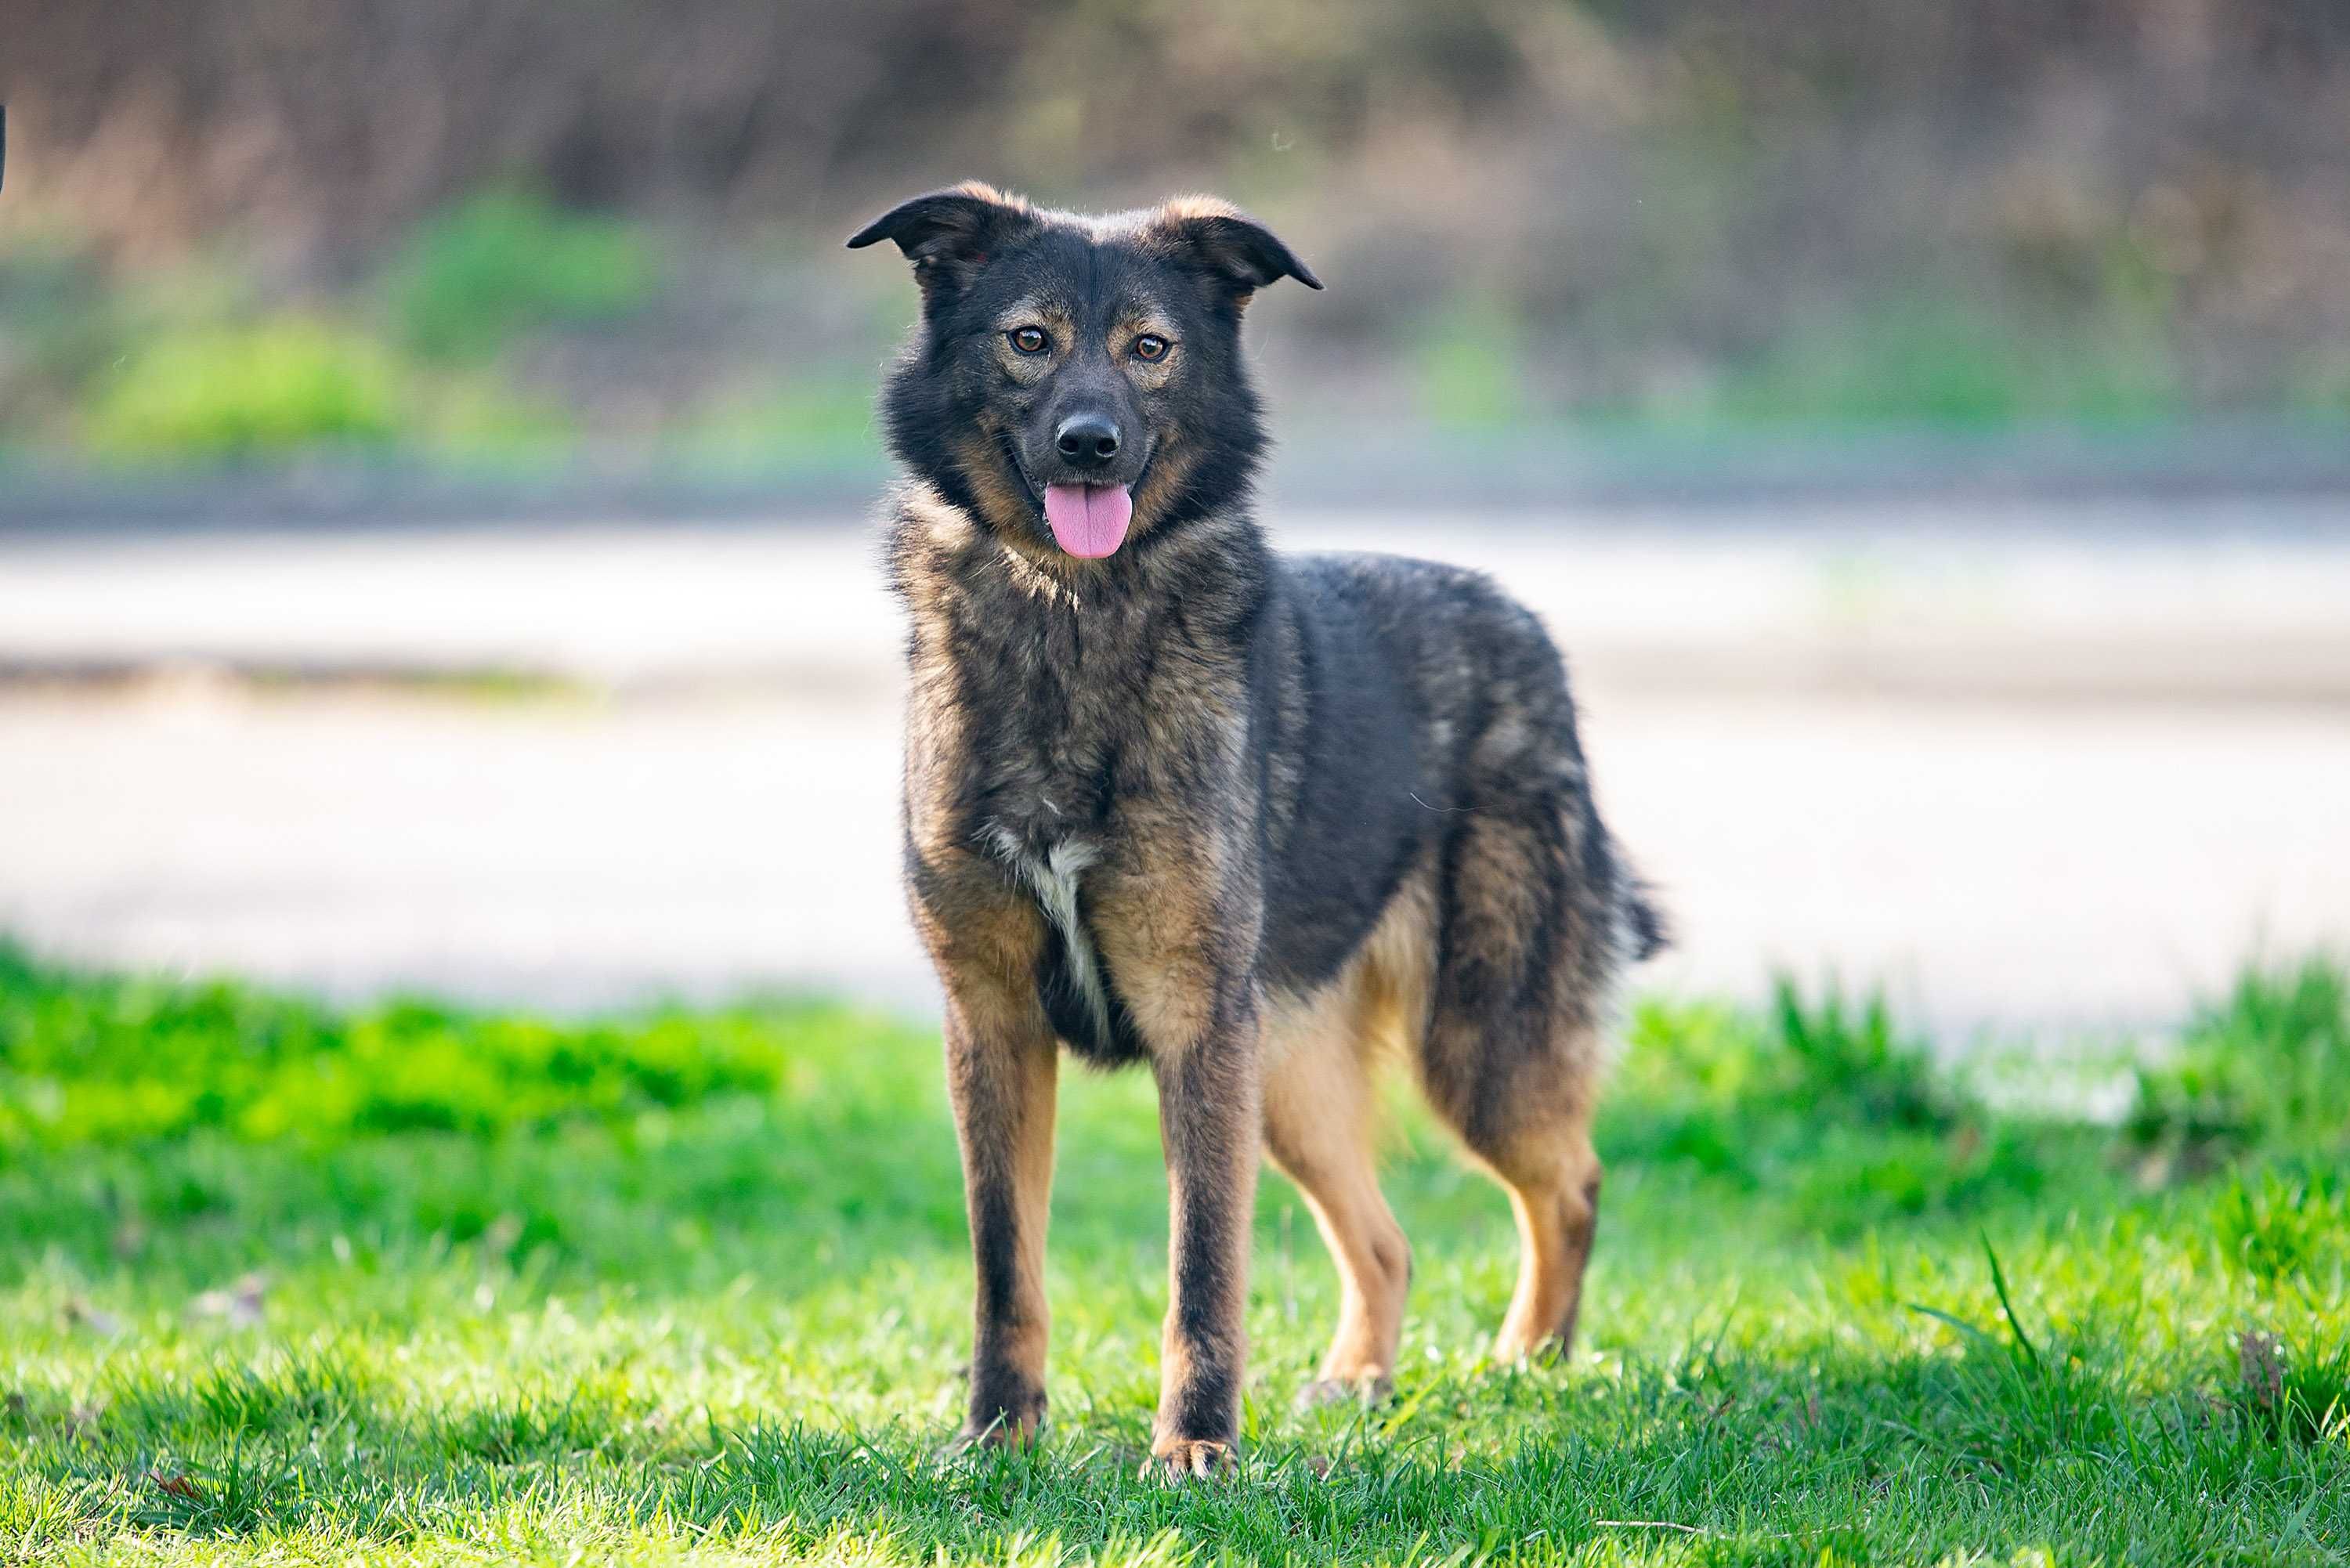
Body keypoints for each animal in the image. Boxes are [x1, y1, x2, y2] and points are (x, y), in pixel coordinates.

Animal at [855, 184, 1664, 1485]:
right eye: (1030, 340)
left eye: (1150, 348)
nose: (1091, 443)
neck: (1073, 612)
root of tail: (1525, 627)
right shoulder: (993, 1024)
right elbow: (1003, 1266)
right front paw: (997, 1437)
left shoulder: (1194, 1025)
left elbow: (1203, 1271)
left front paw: (1196, 1448)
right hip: (1286, 1077)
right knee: (1387, 1241)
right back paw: (1359, 1380)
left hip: (1469, 1043)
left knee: (1572, 1182)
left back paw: (1526, 1361)